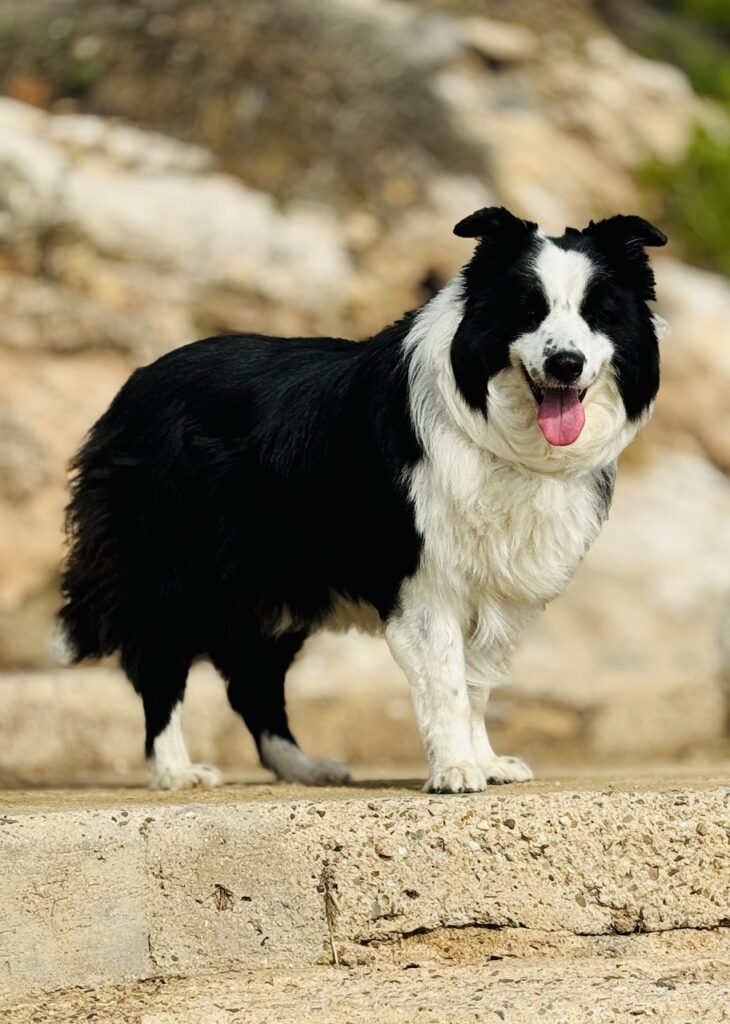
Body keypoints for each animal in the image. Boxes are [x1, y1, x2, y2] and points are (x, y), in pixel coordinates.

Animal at [59, 205, 667, 790]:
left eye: (599, 312)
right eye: (526, 309)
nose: (566, 363)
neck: (495, 426)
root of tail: (134, 385)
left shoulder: (491, 579)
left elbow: (476, 684)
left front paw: (485, 761)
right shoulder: (424, 578)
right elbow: (447, 680)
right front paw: (455, 770)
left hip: (275, 581)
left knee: (253, 679)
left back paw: (302, 767)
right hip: (178, 568)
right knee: (161, 660)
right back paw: (175, 771)